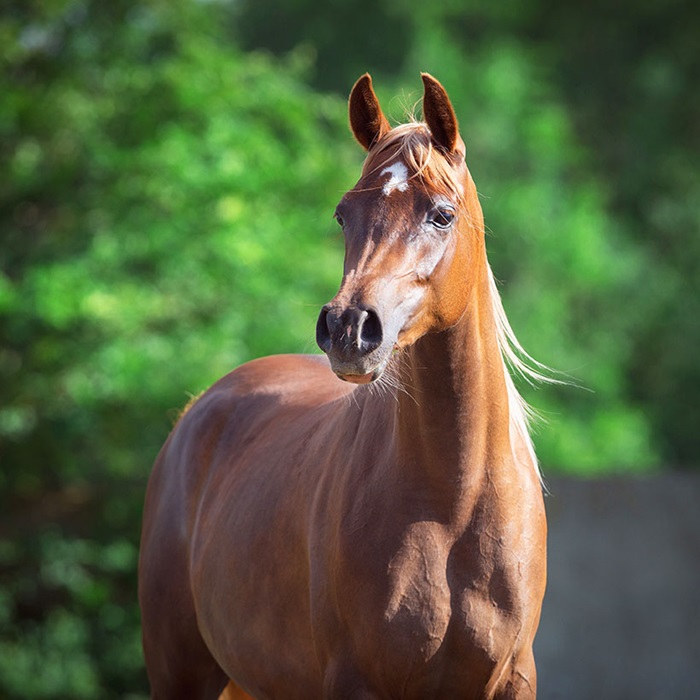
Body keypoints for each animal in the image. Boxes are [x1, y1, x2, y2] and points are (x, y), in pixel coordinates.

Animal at [138, 74, 548, 696]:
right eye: (342, 214)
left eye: (442, 215)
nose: (348, 328)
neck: (454, 503)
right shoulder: (356, 680)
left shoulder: (513, 680)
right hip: (183, 673)